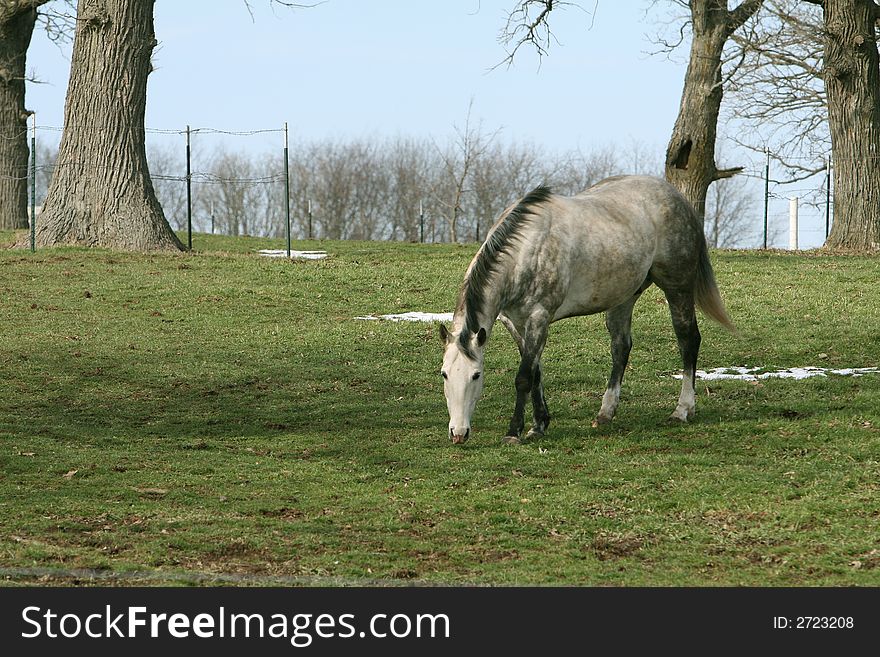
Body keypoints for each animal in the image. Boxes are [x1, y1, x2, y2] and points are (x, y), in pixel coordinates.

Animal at [440, 172, 736, 444]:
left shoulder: (539, 318)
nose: (458, 433)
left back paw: (683, 410)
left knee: (688, 340)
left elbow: (524, 376)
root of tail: (677, 198)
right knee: (621, 348)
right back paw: (605, 412)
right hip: (624, 297)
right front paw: (539, 424)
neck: (526, 251)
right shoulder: (514, 322)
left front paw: (514, 432)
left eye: (476, 375)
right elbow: (535, 372)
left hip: (678, 288)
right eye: (444, 374)